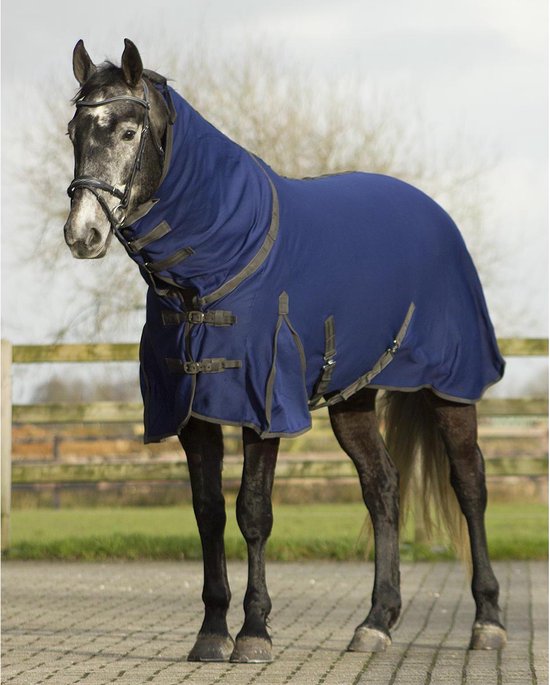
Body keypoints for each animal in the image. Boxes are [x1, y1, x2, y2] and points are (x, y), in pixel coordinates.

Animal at [64, 38, 507, 663]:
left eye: (128, 132)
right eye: (75, 131)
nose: (82, 236)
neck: (211, 267)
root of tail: (437, 216)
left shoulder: (263, 401)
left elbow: (253, 511)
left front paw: (254, 632)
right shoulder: (191, 407)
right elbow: (207, 513)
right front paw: (211, 633)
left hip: (450, 385)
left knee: (469, 484)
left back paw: (487, 621)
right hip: (352, 396)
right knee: (382, 488)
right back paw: (377, 621)